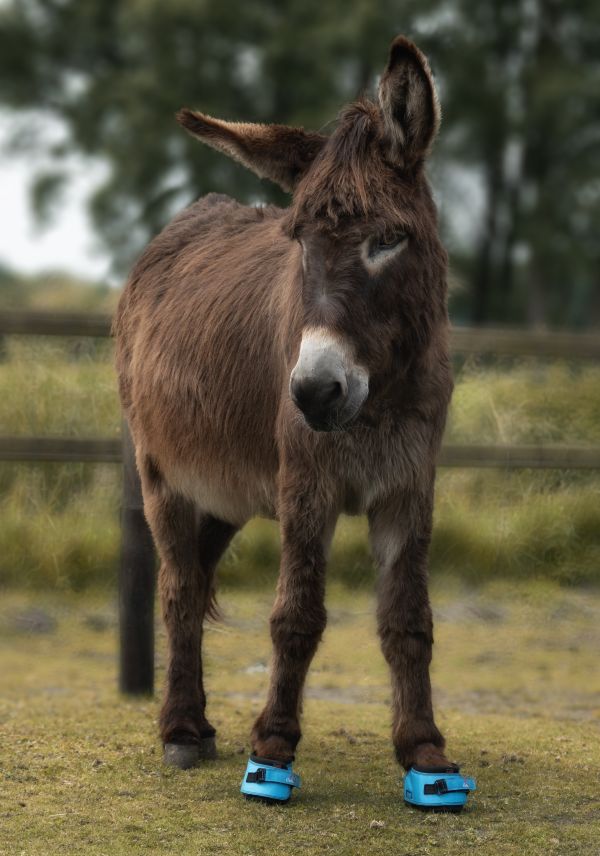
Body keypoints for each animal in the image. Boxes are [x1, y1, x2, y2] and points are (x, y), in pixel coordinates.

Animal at [113, 35, 456, 779]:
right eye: (298, 241)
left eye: (389, 239)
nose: (313, 393)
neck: (378, 401)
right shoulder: (306, 486)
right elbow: (295, 616)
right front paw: (272, 743)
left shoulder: (409, 487)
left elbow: (409, 619)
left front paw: (423, 748)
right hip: (162, 474)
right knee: (177, 588)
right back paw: (181, 729)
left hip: (226, 493)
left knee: (195, 580)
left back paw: (199, 723)